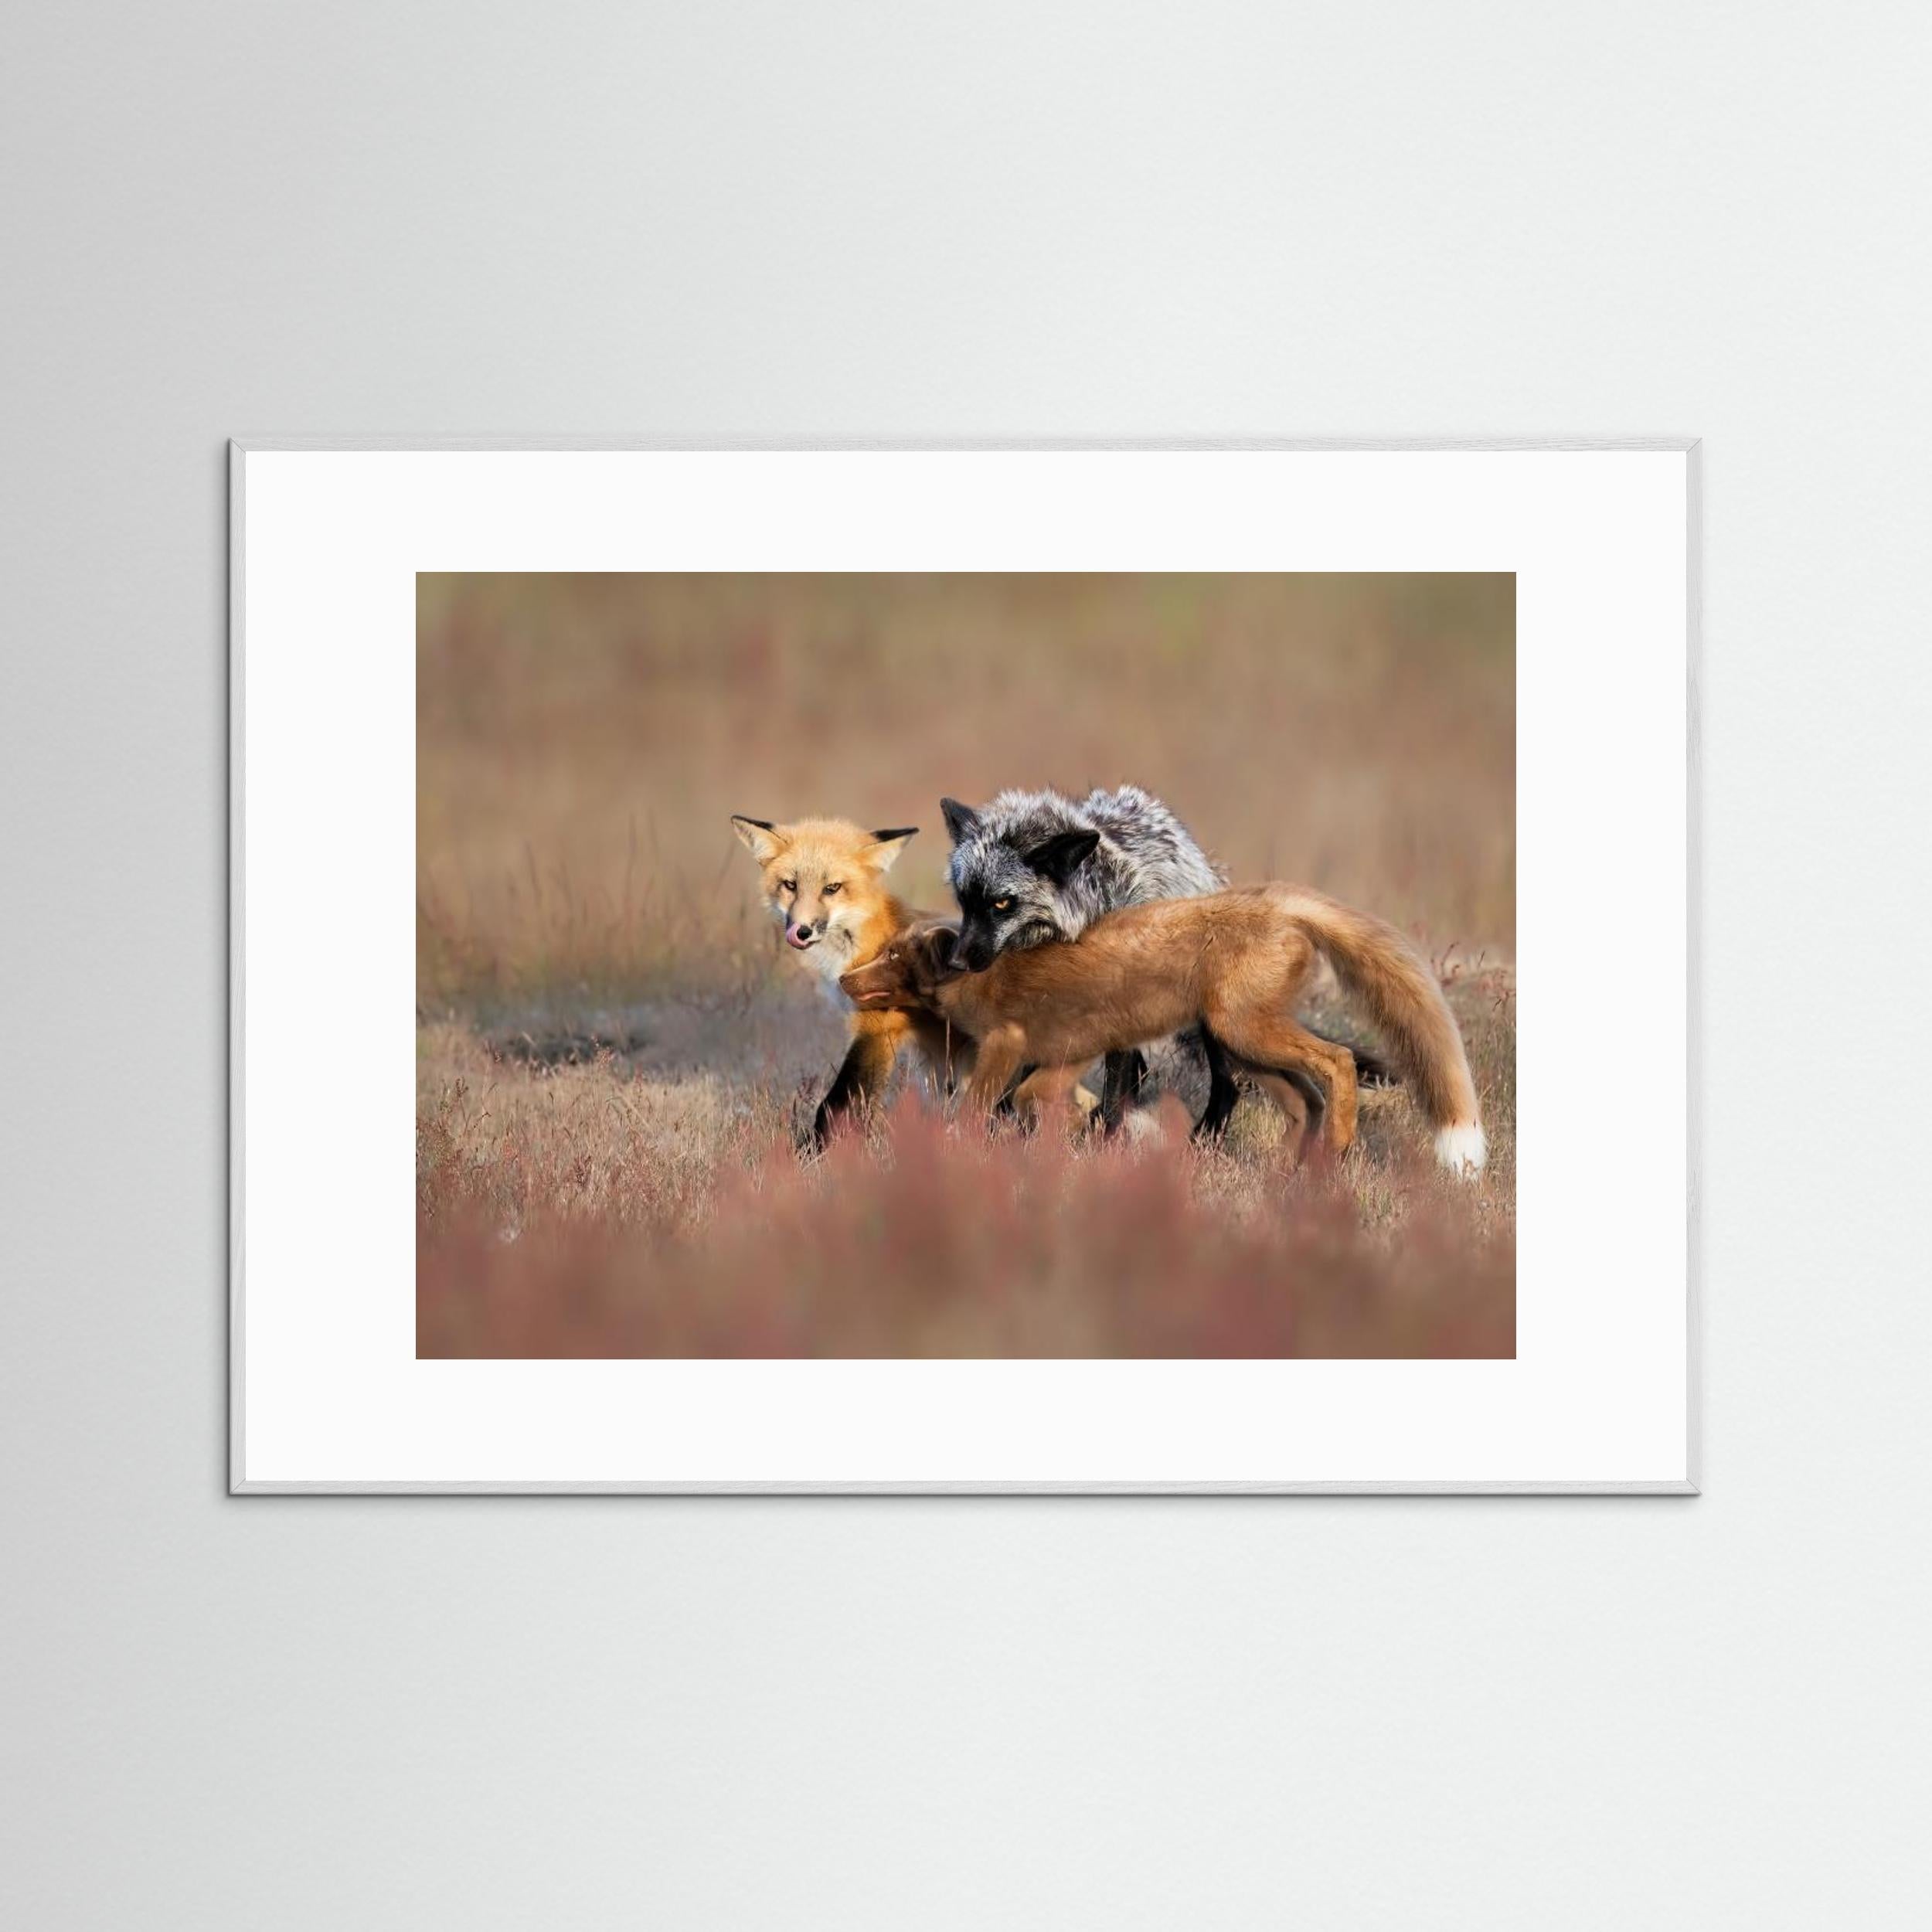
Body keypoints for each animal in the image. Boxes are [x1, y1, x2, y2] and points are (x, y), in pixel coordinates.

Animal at [839, 883, 1488, 1176]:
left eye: (893, 957)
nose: (845, 979)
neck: (980, 978)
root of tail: (1278, 899)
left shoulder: (1011, 1043)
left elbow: (980, 1105)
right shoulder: (1070, 1053)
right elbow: (1036, 1100)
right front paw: (1072, 1137)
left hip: (1246, 1032)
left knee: (1338, 1062)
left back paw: (1338, 1148)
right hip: (1242, 1047)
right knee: (1305, 1099)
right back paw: (1289, 1171)